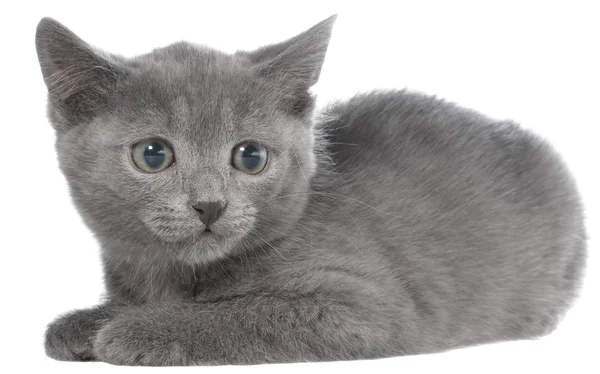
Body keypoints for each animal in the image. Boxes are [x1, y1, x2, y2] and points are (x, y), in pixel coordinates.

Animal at [35, 14, 584, 366]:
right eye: (153, 154)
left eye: (250, 157)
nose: (210, 205)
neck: (178, 275)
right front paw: (86, 322)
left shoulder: (368, 309)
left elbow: (242, 313)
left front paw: (137, 328)